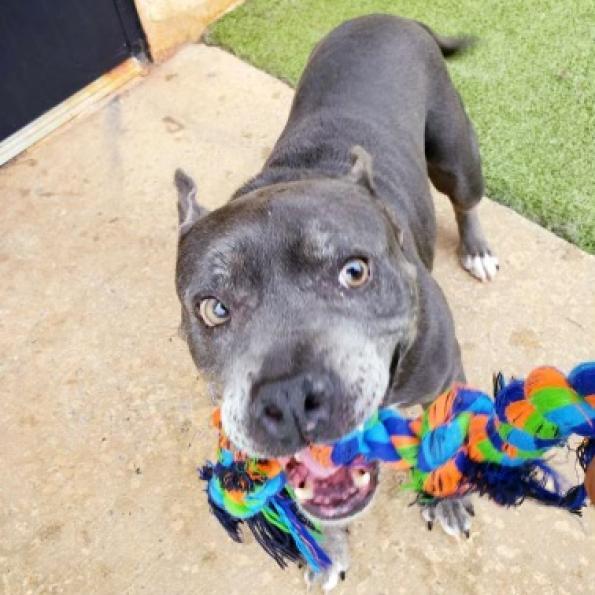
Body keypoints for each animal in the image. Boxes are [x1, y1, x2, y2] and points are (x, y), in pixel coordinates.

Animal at [176, 14, 498, 592]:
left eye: (355, 272)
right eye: (213, 308)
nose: (288, 397)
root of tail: (391, 16)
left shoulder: (445, 376)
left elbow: (443, 438)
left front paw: (445, 500)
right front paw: (326, 553)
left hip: (455, 153)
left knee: (465, 199)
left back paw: (477, 248)